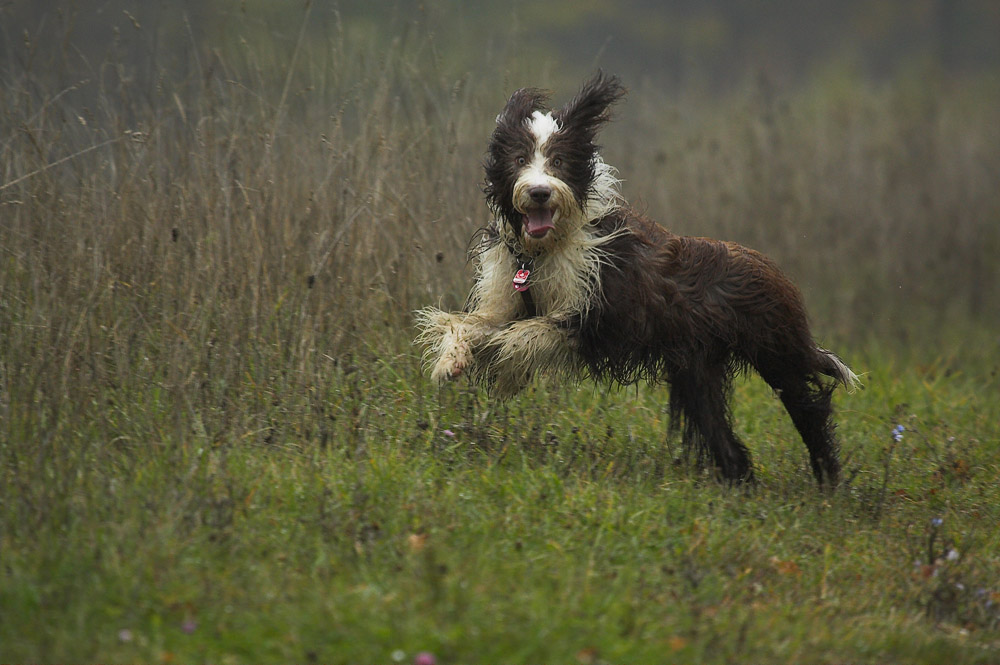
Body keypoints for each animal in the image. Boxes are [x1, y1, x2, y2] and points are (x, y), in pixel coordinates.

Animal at [414, 72, 860, 482]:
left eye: (558, 161)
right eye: (520, 160)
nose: (539, 192)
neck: (543, 252)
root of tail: (774, 271)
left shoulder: (599, 315)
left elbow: (525, 334)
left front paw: (504, 369)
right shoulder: (506, 296)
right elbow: (468, 324)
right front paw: (452, 362)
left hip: (775, 349)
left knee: (809, 406)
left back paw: (827, 478)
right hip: (697, 371)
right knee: (718, 428)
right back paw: (739, 480)